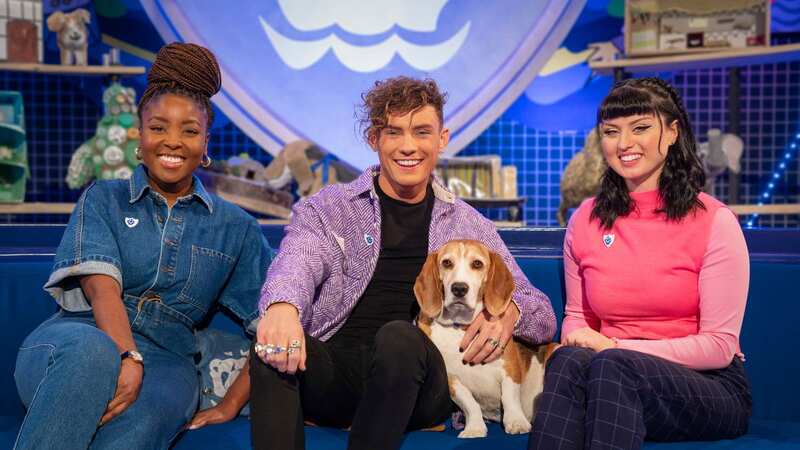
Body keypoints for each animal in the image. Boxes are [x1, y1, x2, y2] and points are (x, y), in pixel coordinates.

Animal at [412, 241, 552, 438]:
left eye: (477, 264)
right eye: (446, 263)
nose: (459, 288)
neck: (461, 328)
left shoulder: (509, 369)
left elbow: (509, 397)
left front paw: (516, 422)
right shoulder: (452, 380)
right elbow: (470, 404)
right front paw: (475, 428)